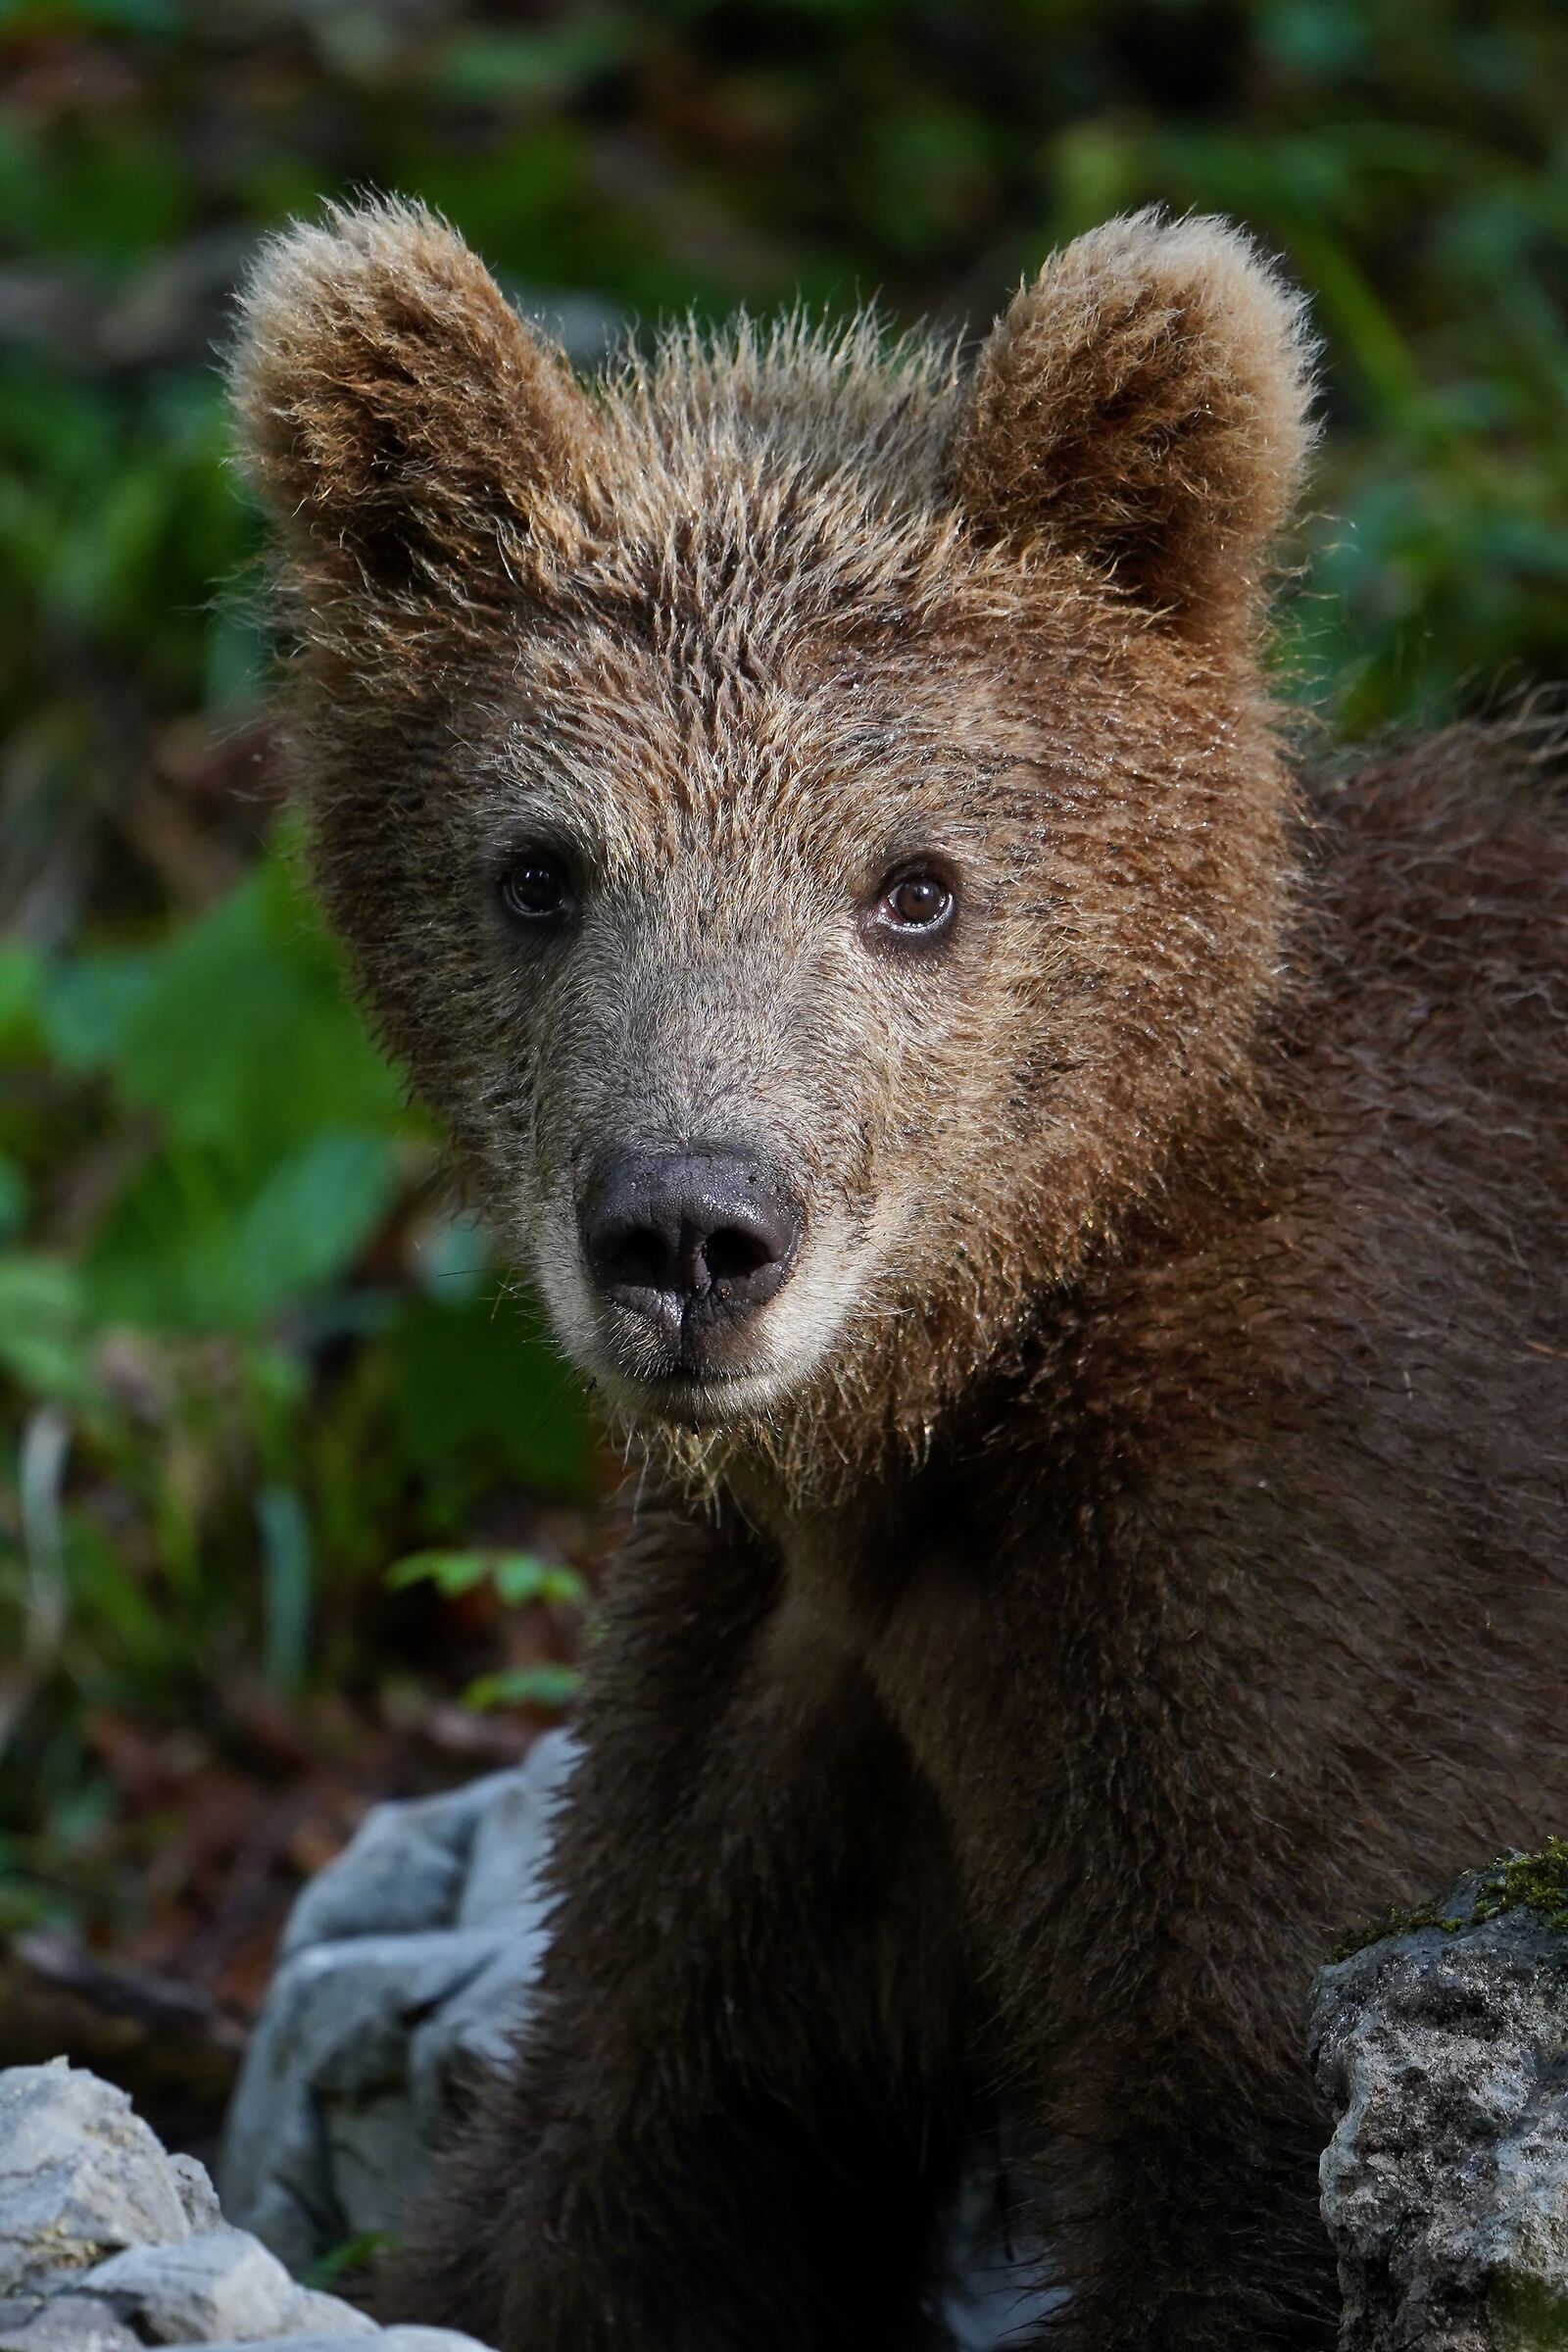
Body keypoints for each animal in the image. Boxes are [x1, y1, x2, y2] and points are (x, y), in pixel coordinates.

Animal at [229, 199, 1568, 2350]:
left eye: (914, 883)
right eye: (540, 869)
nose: (690, 1233)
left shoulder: (1323, 1595)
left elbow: (1253, 2152)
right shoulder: (777, 1717)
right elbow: (614, 2161)